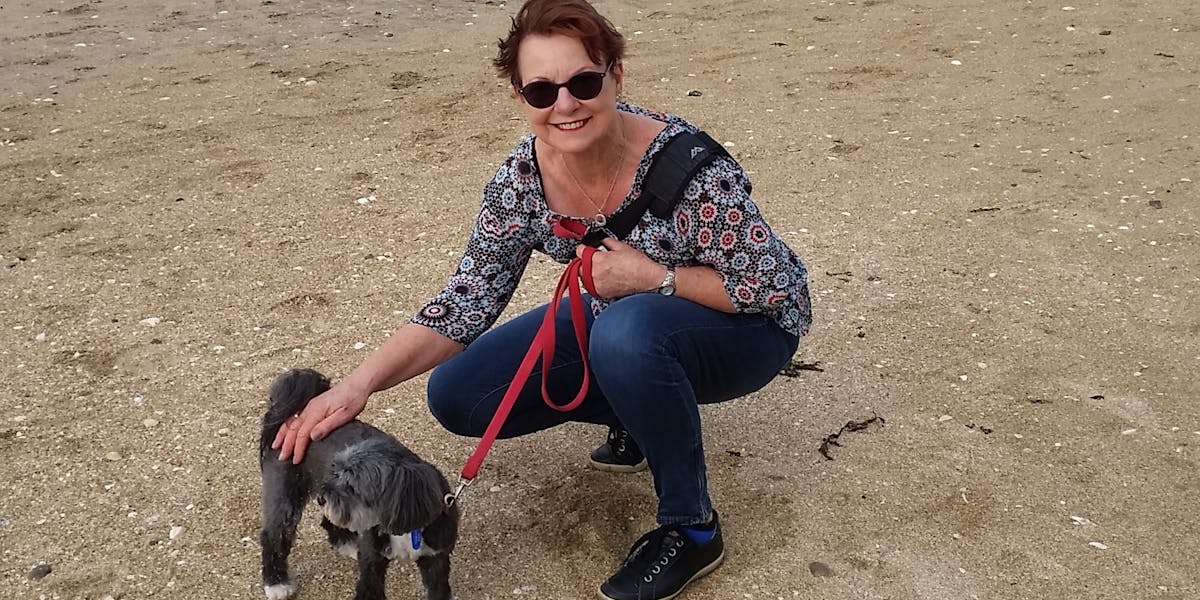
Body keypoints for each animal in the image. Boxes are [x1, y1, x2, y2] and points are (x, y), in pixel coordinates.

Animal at [258, 367, 458, 600]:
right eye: (335, 472)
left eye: (353, 486)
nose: (322, 498)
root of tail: (289, 416)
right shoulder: (372, 561)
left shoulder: (436, 559)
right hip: (285, 498)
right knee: (273, 536)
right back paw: (276, 583)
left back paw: (347, 544)